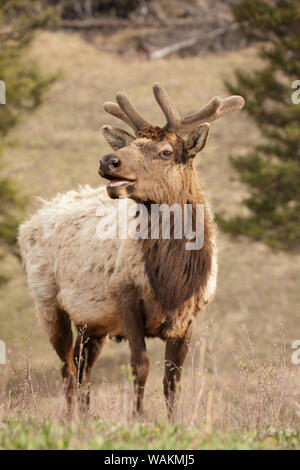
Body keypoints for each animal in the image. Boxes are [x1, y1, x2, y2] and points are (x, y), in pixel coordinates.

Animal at [18, 82, 244, 416]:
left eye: (165, 152)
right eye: (131, 144)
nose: (108, 161)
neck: (173, 282)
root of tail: (30, 220)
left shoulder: (189, 315)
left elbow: (173, 378)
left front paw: (172, 421)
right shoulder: (125, 295)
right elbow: (141, 366)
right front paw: (137, 417)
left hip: (92, 322)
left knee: (83, 368)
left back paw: (85, 419)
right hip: (48, 303)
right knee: (68, 369)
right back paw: (70, 420)